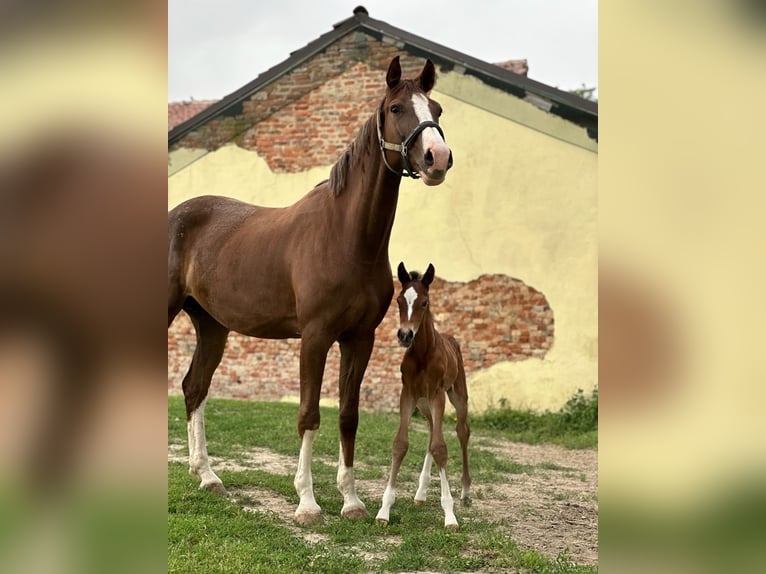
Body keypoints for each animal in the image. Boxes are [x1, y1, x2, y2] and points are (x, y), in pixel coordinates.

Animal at [166, 58, 452, 528]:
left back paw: (206, 475)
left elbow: (348, 417)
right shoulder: (315, 338)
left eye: (437, 110)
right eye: (395, 108)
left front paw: (351, 501)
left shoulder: (359, 339)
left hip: (212, 326)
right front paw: (308, 503)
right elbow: (308, 414)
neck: (346, 237)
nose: (437, 158)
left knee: (194, 387)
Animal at [376, 264, 472, 528]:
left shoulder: (437, 394)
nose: (405, 335)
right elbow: (400, 444)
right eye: (399, 300)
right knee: (431, 430)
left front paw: (449, 515)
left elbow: (440, 447)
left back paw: (465, 492)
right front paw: (384, 510)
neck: (422, 353)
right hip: (424, 403)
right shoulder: (408, 394)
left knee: (462, 431)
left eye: (425, 302)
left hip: (456, 395)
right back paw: (420, 493)